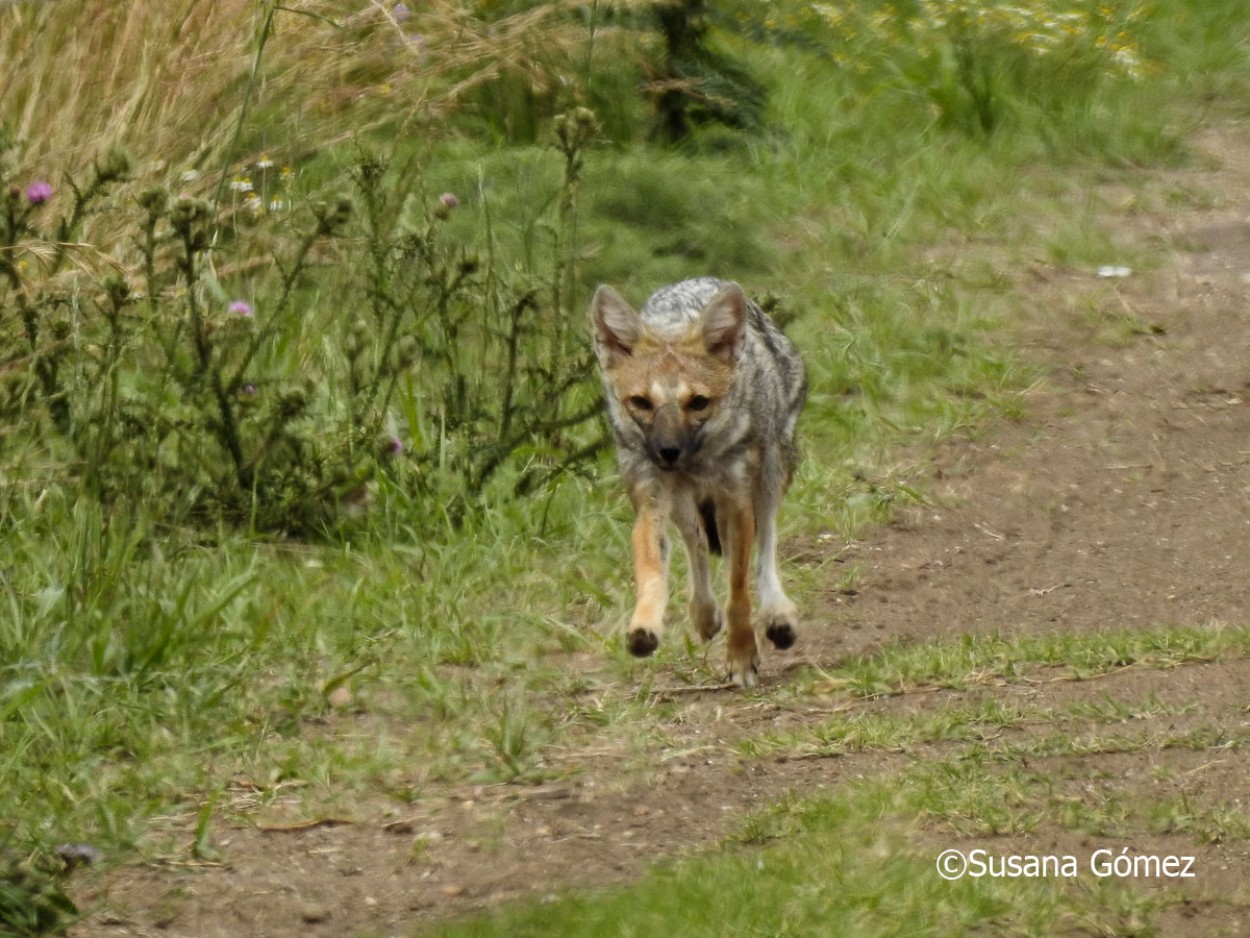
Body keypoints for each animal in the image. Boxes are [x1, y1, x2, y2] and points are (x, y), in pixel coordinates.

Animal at [587, 275, 805, 685]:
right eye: (641, 402)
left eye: (698, 402)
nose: (668, 451)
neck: (697, 463)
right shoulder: (651, 502)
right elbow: (653, 571)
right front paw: (644, 628)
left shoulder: (737, 502)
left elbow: (739, 591)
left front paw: (741, 656)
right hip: (682, 504)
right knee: (697, 544)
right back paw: (703, 614)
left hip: (772, 473)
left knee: (765, 548)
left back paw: (778, 615)